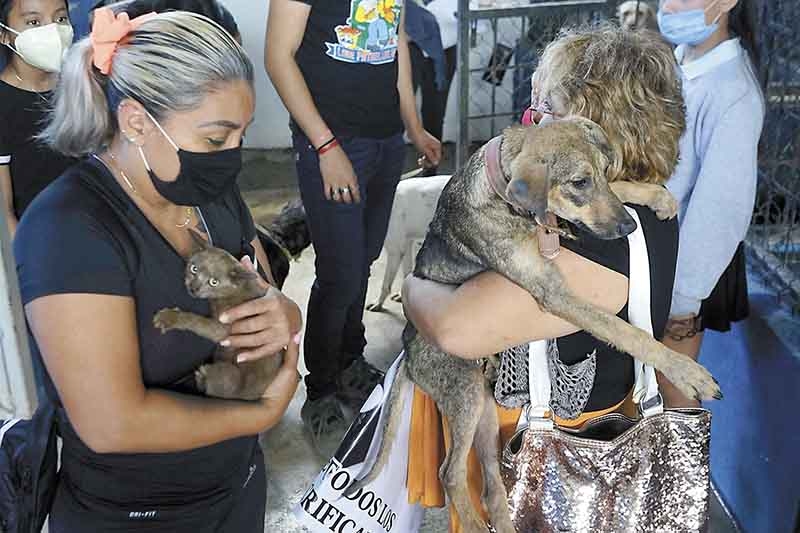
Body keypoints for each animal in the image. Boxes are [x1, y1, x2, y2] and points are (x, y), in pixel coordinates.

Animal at [154, 229, 284, 400]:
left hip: (231, 375)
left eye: (213, 282)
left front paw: (168, 317)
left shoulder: (226, 328)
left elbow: (196, 321)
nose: (193, 289)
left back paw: (202, 376)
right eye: (194, 269)